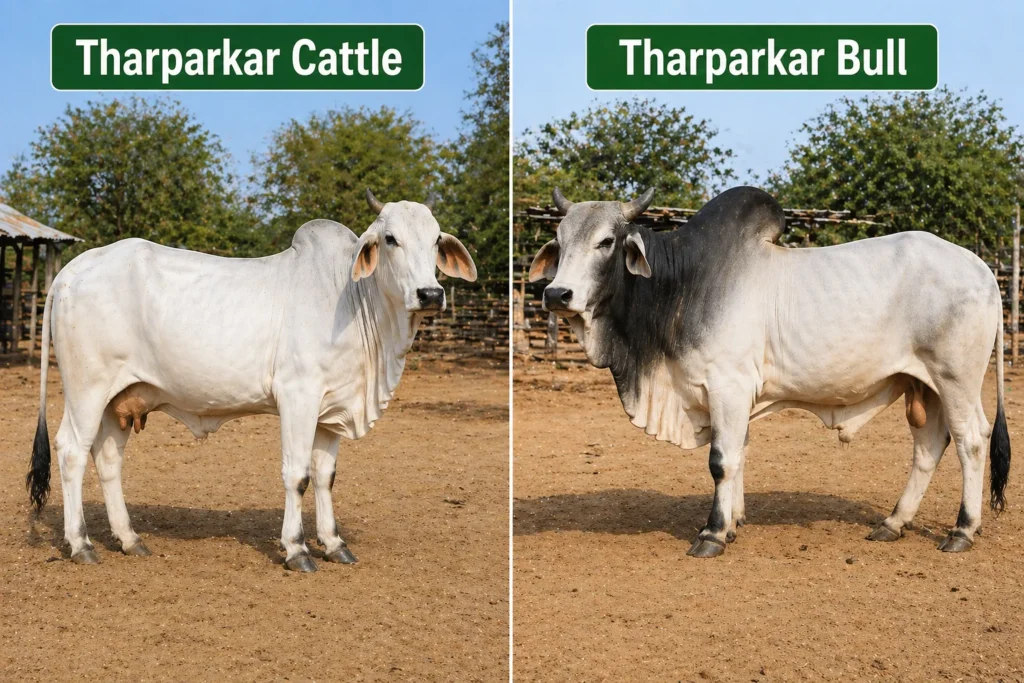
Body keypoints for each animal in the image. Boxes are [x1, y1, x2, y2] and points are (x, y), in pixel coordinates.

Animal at [26, 190, 477, 572]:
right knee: (71, 452)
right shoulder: (298, 396)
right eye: (390, 239)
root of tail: (70, 270)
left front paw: (334, 544)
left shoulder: (332, 407)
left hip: (119, 398)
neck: (354, 301)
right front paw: (297, 549)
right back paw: (81, 544)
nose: (430, 294)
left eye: (436, 240)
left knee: (107, 459)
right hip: (86, 390)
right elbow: (298, 475)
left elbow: (325, 476)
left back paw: (129, 538)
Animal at [530, 185, 1010, 558]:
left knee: (971, 440)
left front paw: (712, 533)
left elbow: (721, 460)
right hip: (923, 385)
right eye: (559, 240)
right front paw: (733, 522)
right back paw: (893, 523)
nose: (557, 294)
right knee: (929, 446)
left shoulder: (728, 385)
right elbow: (739, 453)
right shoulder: (733, 395)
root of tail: (982, 269)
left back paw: (962, 530)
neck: (681, 285)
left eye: (607, 241)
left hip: (956, 379)